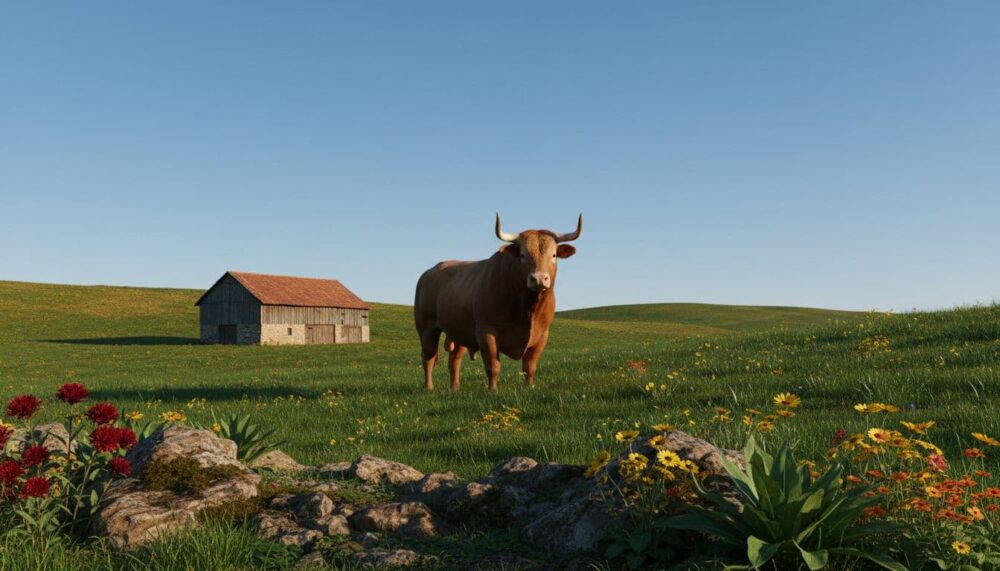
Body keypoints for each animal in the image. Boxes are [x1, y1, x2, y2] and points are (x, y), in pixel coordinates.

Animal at [414, 214, 582, 391]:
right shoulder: (486, 332)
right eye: (522, 255)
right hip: (426, 328)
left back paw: (455, 389)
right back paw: (429, 388)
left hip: (459, 330)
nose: (539, 278)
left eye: (554, 255)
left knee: (454, 359)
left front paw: (529, 387)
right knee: (428, 357)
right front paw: (492, 390)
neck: (527, 309)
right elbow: (493, 365)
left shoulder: (542, 334)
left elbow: (529, 366)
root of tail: (429, 272)